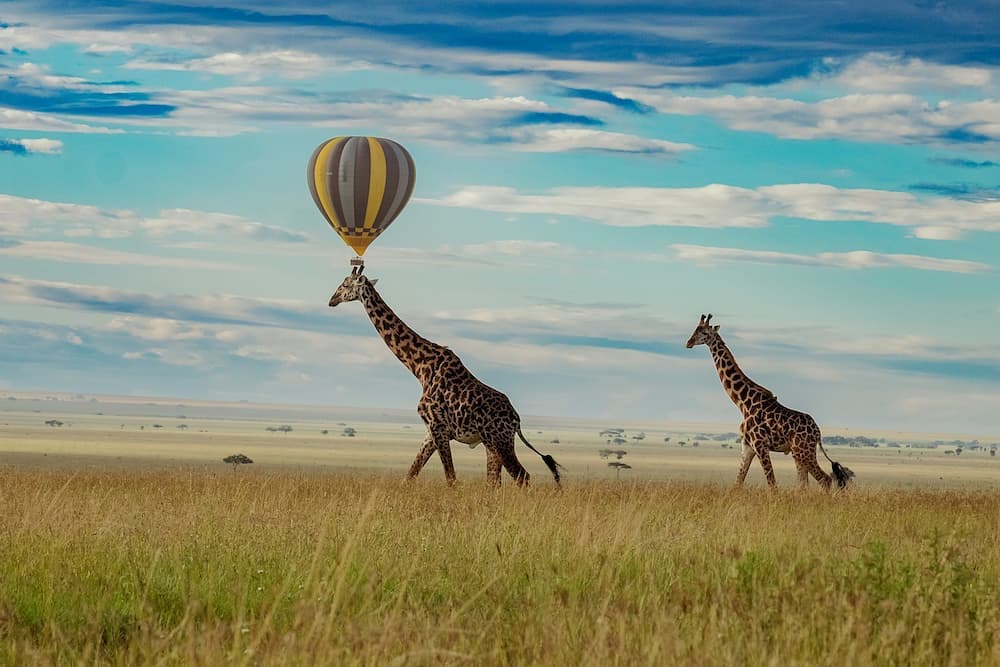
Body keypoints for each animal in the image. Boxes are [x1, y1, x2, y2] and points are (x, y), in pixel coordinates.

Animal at [328, 265, 561, 486]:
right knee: (494, 481)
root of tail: (516, 419)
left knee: (522, 477)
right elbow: (410, 475)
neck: (419, 367)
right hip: (491, 443)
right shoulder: (431, 431)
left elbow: (450, 478)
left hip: (499, 440)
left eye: (346, 284)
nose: (332, 300)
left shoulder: (438, 428)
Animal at [685, 314, 853, 489]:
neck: (742, 403)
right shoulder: (747, 447)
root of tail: (818, 432)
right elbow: (738, 483)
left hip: (803, 451)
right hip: (798, 453)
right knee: (803, 484)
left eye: (704, 333)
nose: (688, 343)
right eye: (695, 329)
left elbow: (772, 484)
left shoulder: (760, 445)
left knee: (824, 479)